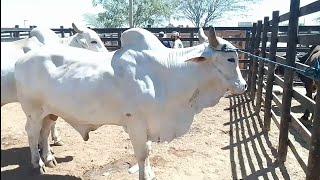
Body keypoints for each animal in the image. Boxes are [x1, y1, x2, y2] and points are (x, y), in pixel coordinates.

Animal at [13, 26, 246, 179]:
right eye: (230, 59)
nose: (243, 85)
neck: (168, 75)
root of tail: (21, 59)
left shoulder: (150, 126)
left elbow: (148, 151)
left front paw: (150, 174)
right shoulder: (136, 124)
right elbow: (142, 154)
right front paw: (144, 175)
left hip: (50, 111)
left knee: (44, 132)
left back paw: (49, 159)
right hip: (33, 111)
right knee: (32, 133)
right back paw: (38, 163)